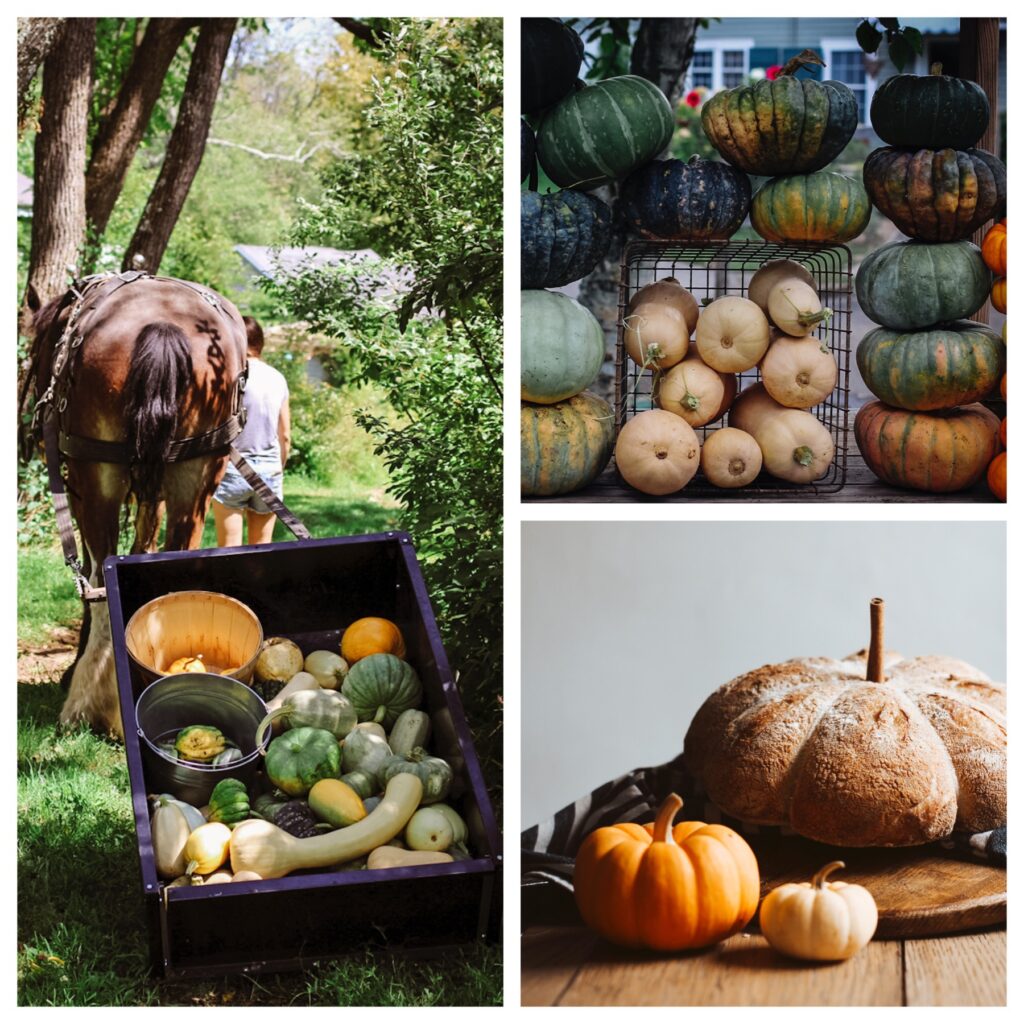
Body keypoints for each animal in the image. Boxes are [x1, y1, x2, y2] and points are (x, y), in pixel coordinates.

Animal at [22, 272, 249, 737]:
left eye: (36, 353)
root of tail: (163, 326)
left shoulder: (81, 487)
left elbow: (93, 576)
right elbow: (143, 550)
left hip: (97, 479)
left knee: (97, 579)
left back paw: (88, 706)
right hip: (197, 476)